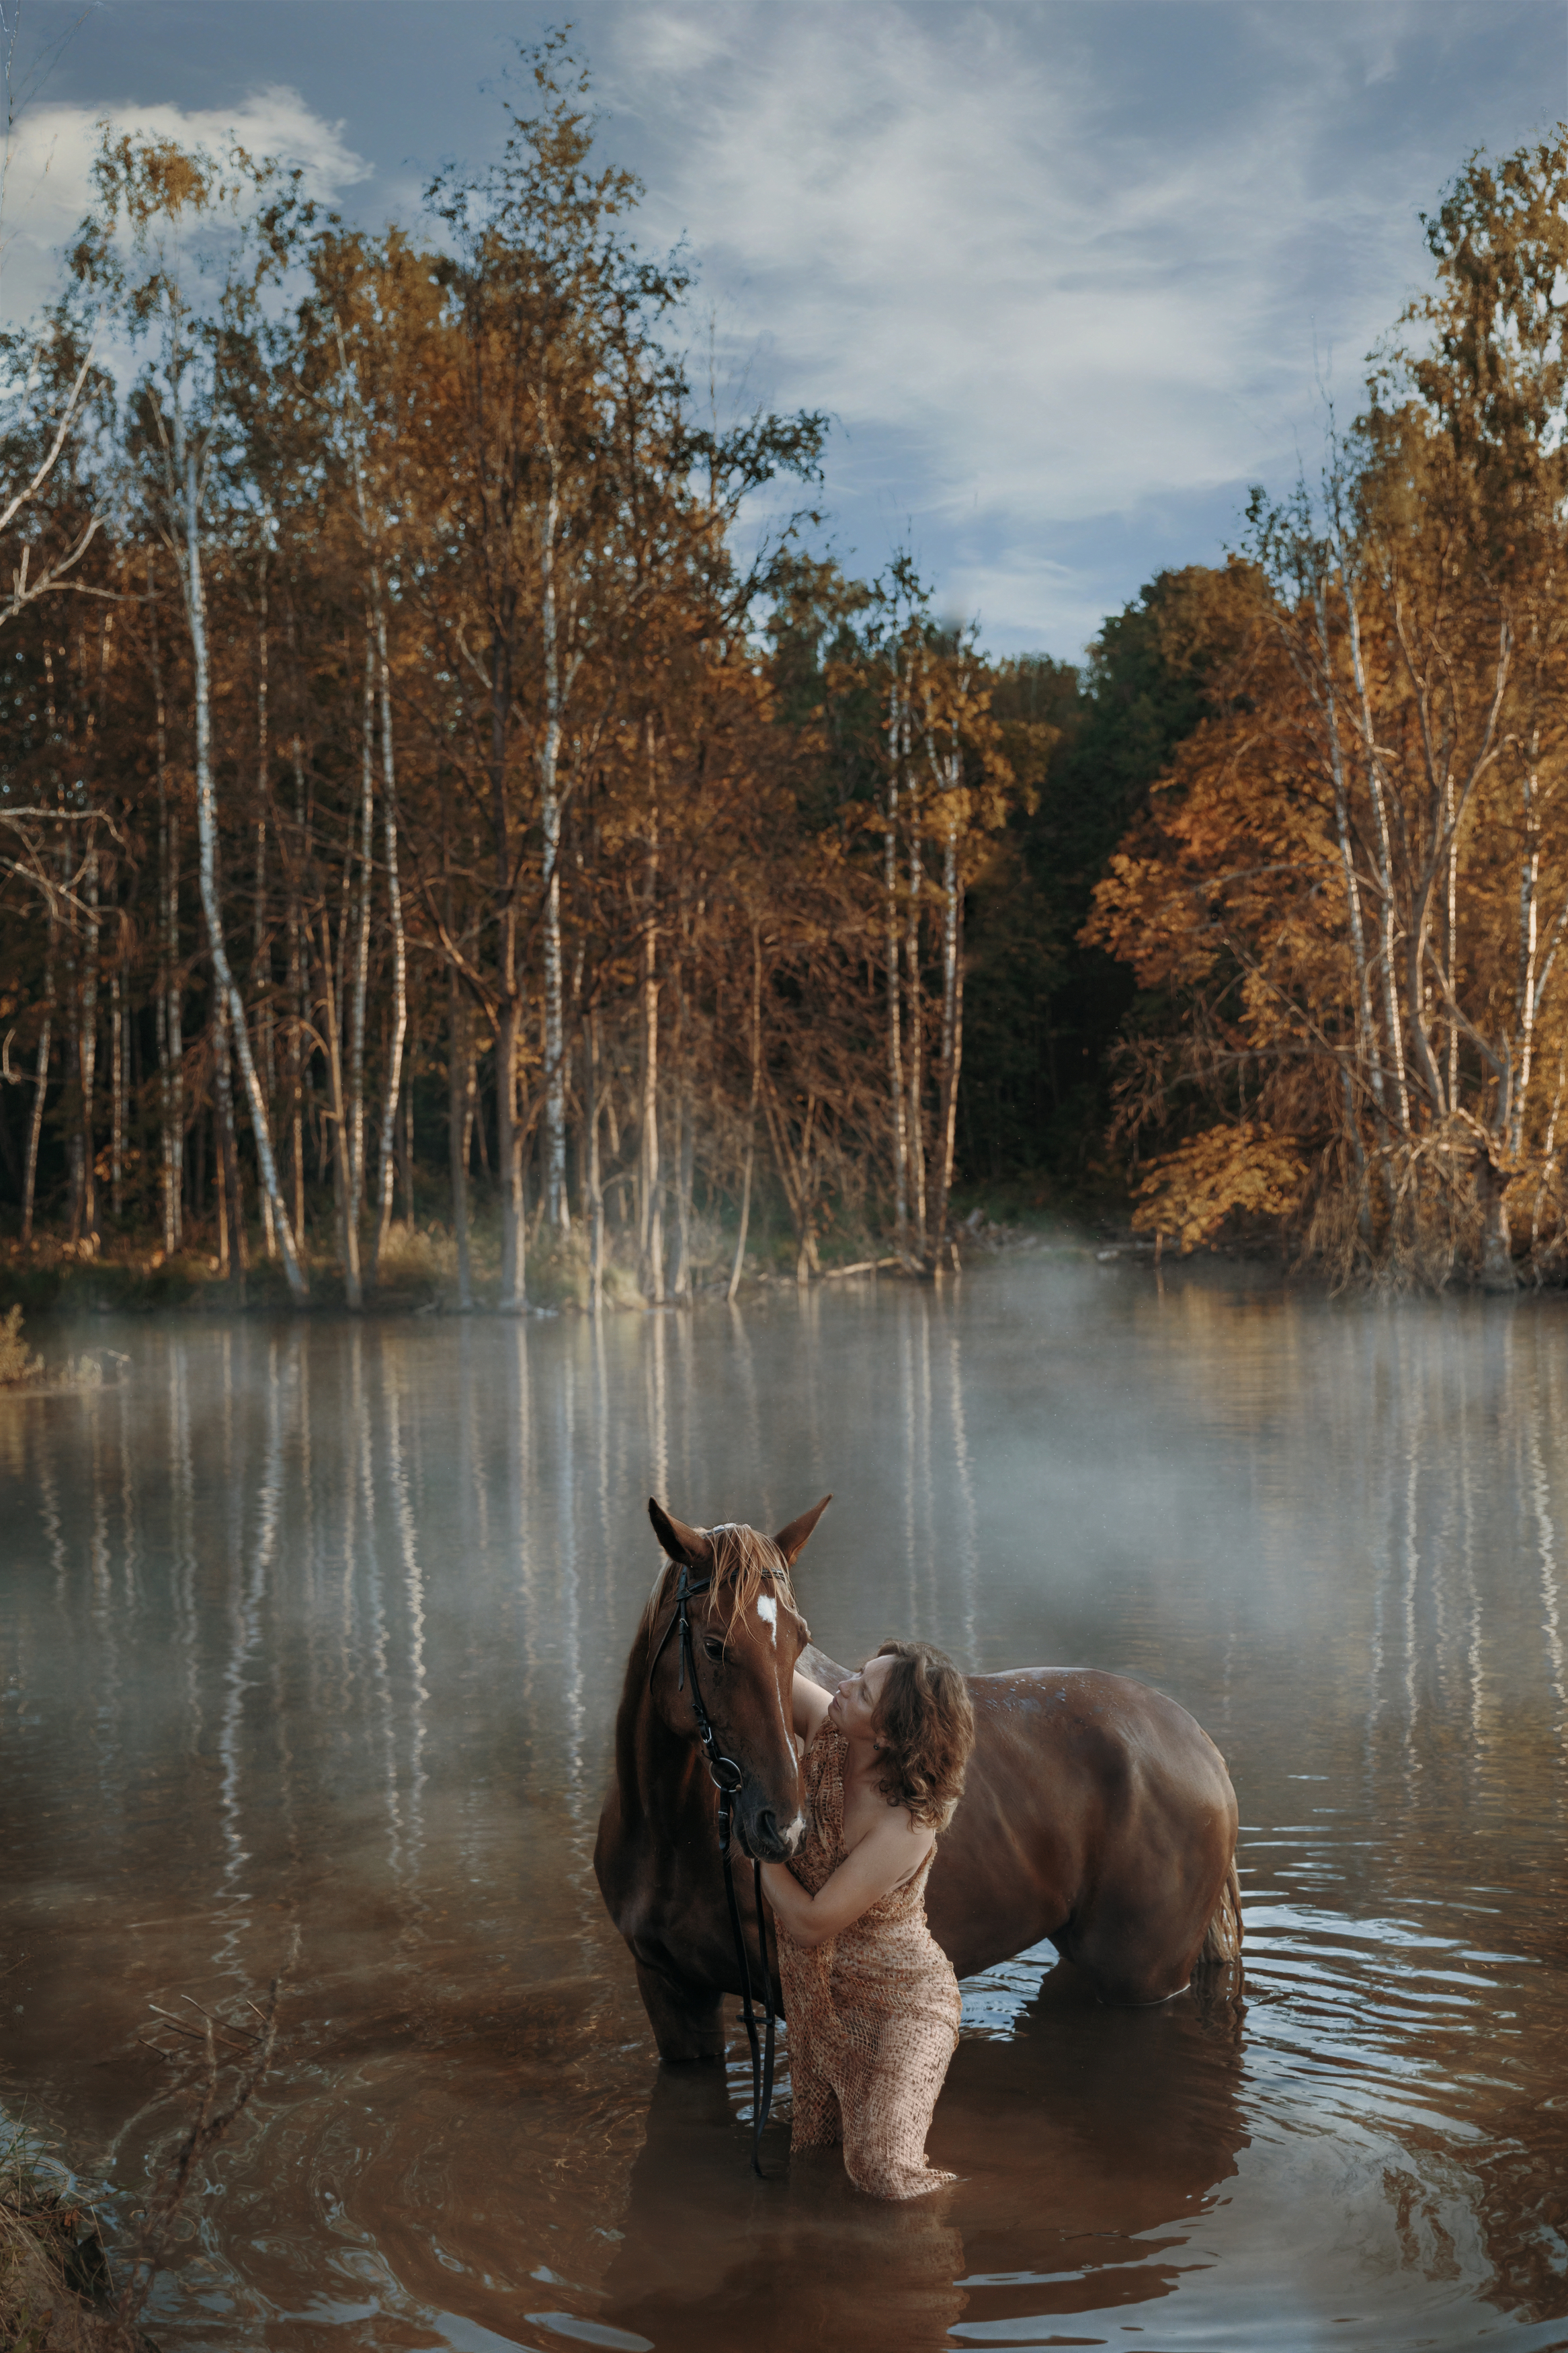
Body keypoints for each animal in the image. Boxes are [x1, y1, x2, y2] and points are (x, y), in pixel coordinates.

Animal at [594, 1506, 1241, 2061]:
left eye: (799, 1640)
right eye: (712, 1645)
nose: (783, 1826)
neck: (667, 1834)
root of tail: (1198, 1743)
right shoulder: (670, 1996)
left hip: (1142, 1981)